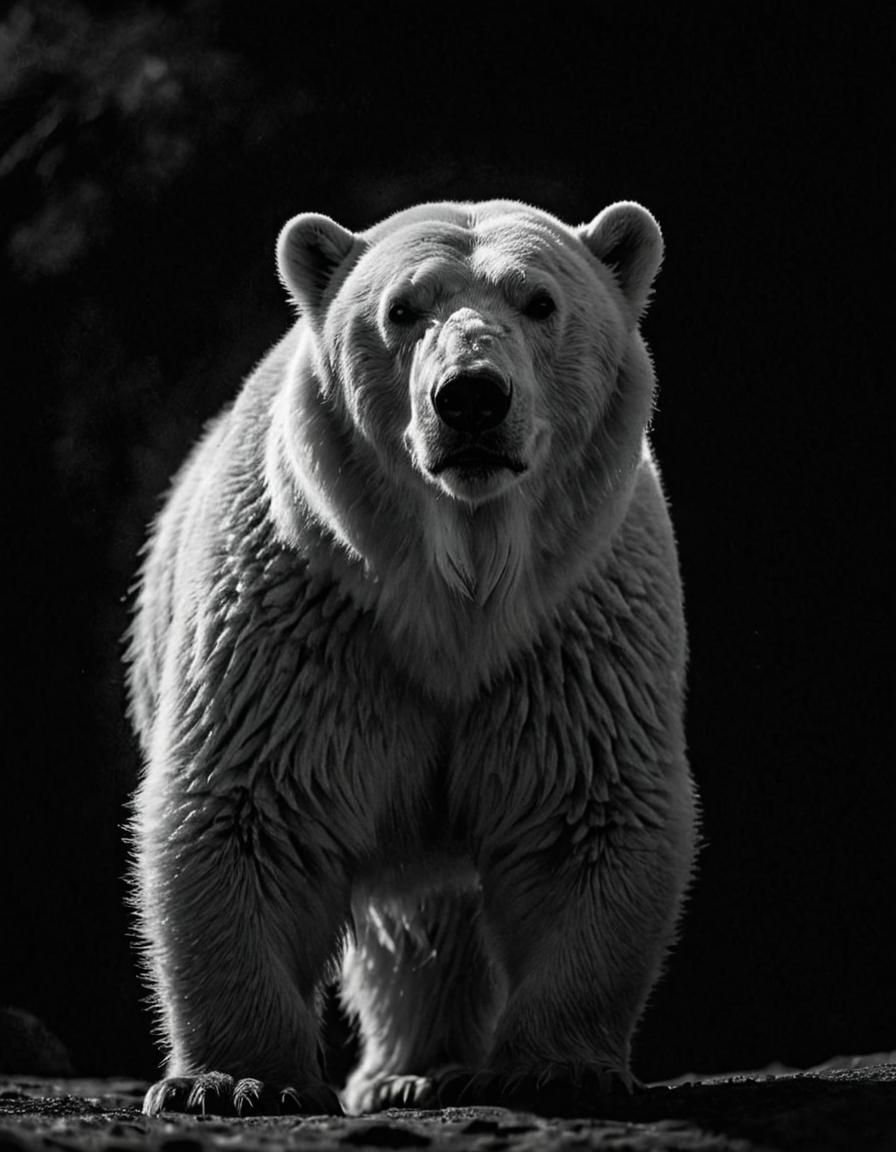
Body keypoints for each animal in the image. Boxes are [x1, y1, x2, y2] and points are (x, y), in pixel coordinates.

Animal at [127, 198, 697, 1118]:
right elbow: (250, 809)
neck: (456, 592)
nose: (471, 397)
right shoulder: (309, 614)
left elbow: (585, 810)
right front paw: (236, 1078)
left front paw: (558, 1067)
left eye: (539, 301)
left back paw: (424, 1069)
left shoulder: (573, 627)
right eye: (402, 309)